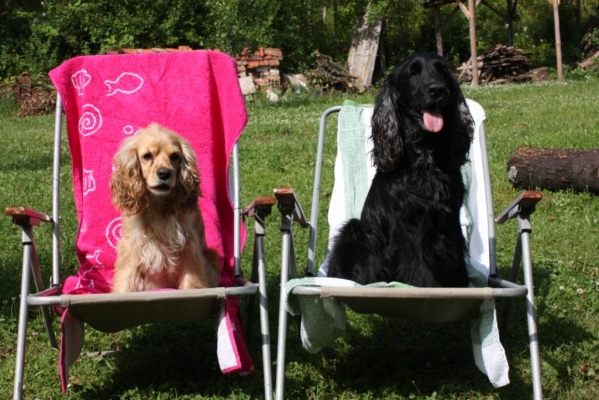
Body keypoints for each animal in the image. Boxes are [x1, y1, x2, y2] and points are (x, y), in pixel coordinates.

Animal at [326, 52, 476, 288]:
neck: (426, 159)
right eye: (412, 73)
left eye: (442, 71)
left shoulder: (450, 222)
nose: (437, 90)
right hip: (354, 229)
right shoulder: (407, 229)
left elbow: (457, 265)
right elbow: (421, 271)